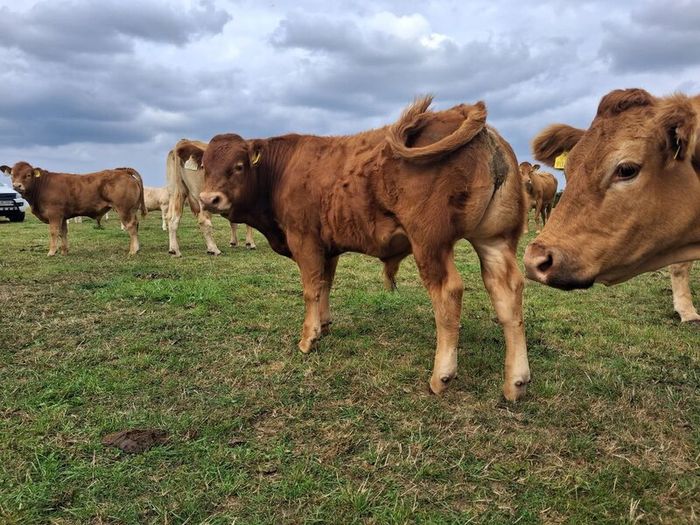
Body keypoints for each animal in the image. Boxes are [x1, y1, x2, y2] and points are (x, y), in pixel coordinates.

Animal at [1, 162, 146, 255]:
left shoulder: (54, 214)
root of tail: (123, 170)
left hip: (124, 209)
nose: (17, 185)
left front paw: (51, 252)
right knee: (136, 224)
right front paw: (64, 251)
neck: (42, 187)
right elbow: (63, 232)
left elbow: (54, 232)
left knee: (131, 226)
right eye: (12, 174)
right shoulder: (63, 216)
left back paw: (133, 250)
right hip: (131, 209)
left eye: (28, 175)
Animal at [198, 96, 531, 400]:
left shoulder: (304, 239)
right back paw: (516, 381)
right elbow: (325, 284)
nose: (208, 199)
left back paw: (442, 375)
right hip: (494, 240)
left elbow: (310, 289)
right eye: (205, 167)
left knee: (448, 293)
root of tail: (465, 113)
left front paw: (308, 338)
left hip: (430, 244)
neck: (282, 171)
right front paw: (324, 325)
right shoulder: (328, 247)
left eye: (238, 166)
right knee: (507, 292)